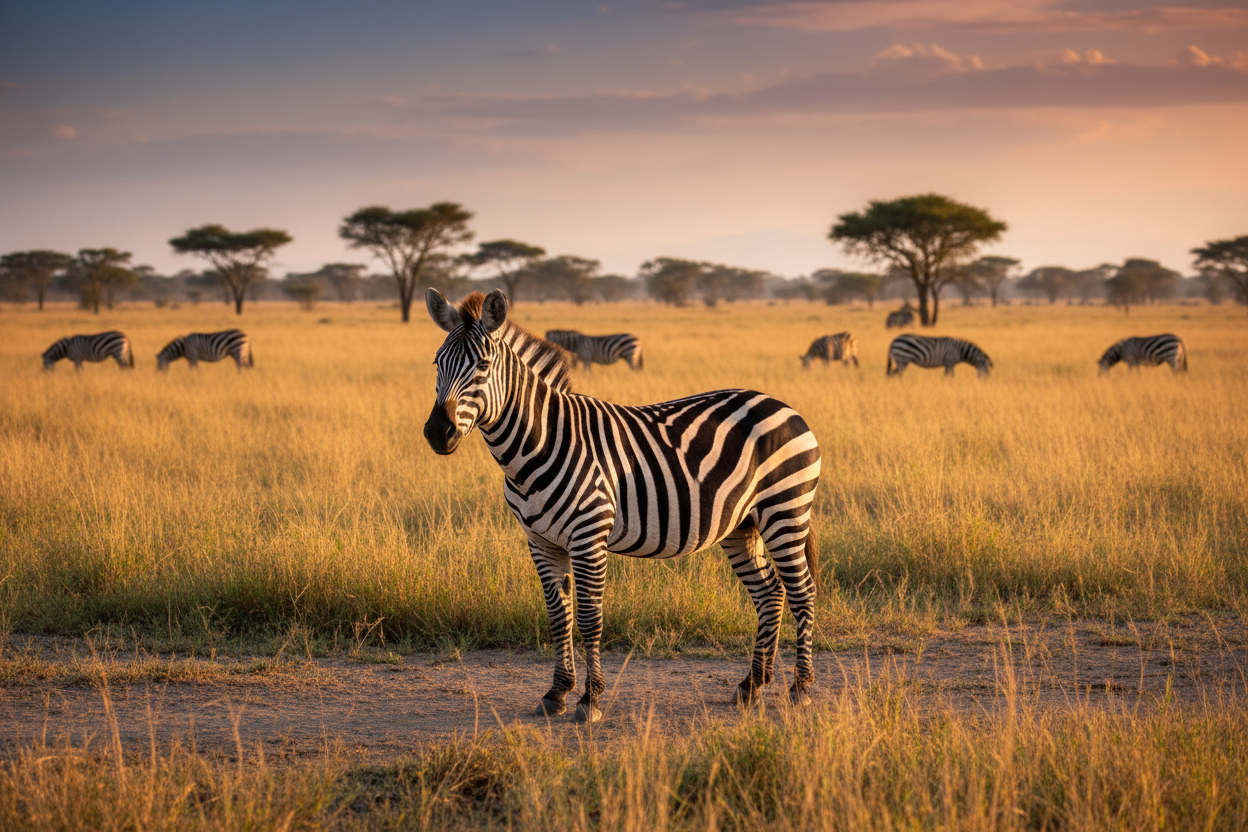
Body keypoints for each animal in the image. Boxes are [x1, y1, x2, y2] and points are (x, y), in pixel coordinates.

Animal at [425, 289, 821, 723]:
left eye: (482, 365)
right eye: (436, 363)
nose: (437, 433)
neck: (538, 445)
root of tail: (782, 405)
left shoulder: (588, 537)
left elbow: (588, 618)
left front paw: (590, 699)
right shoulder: (540, 542)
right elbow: (558, 617)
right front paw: (556, 693)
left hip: (785, 510)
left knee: (801, 591)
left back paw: (801, 688)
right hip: (741, 524)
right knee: (769, 592)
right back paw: (753, 684)